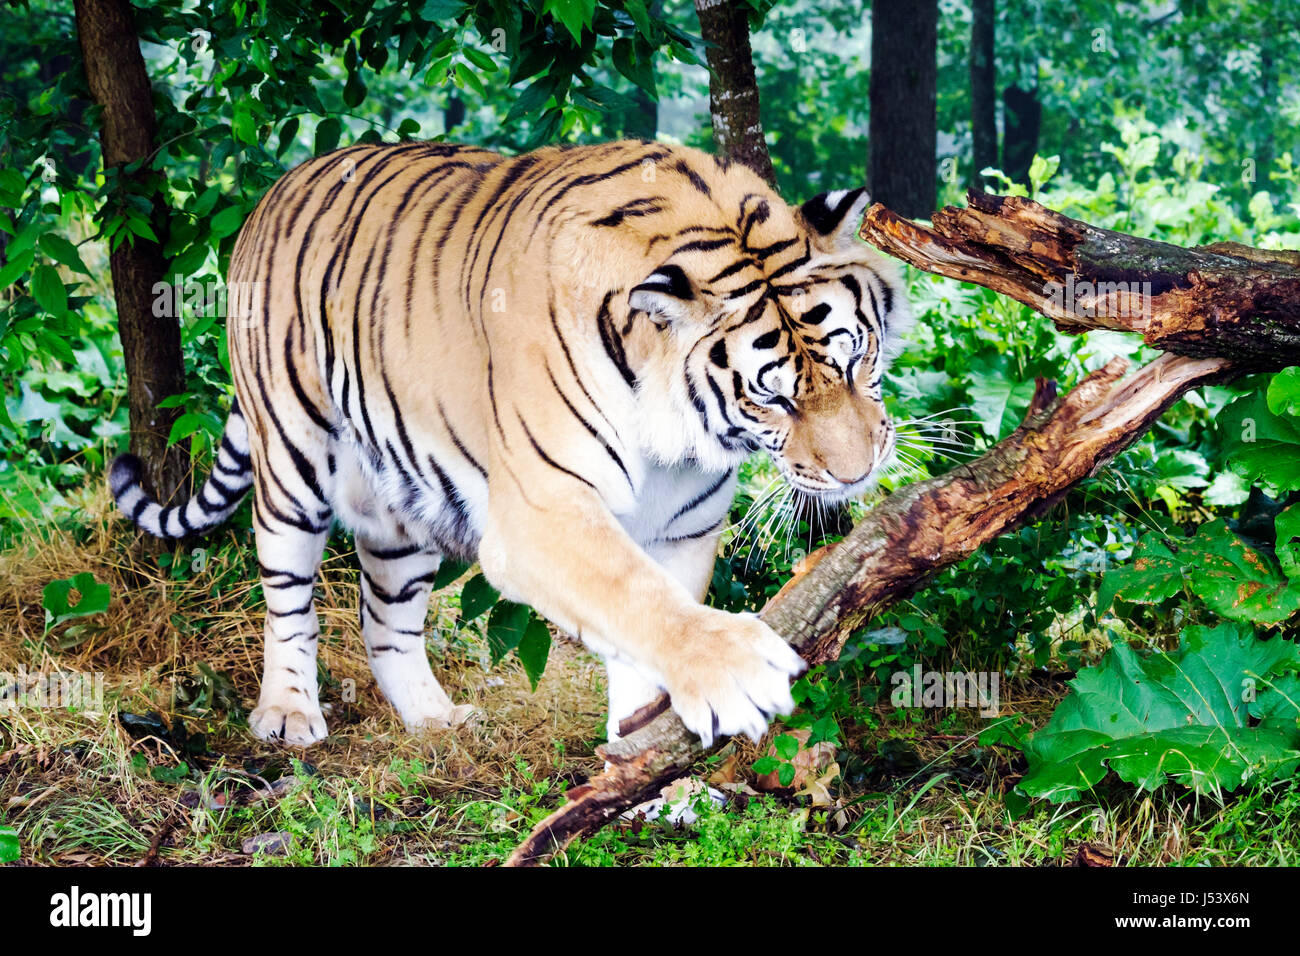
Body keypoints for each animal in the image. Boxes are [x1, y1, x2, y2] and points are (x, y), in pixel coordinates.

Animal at [109, 138, 904, 749]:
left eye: (854, 356)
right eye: (772, 397)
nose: (857, 473)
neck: (676, 439)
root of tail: (279, 185)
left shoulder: (683, 527)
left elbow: (644, 649)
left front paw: (651, 779)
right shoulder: (544, 512)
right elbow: (636, 597)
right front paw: (735, 673)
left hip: (403, 496)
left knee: (384, 619)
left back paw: (433, 720)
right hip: (292, 460)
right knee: (285, 596)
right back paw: (286, 714)